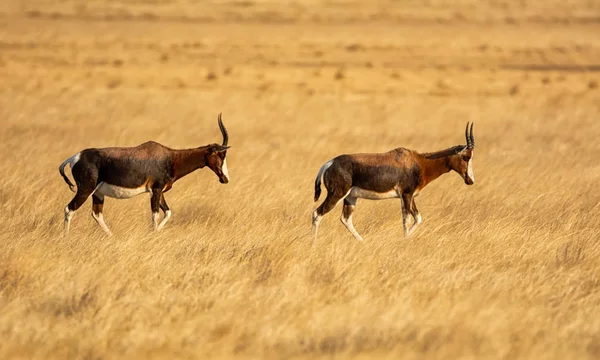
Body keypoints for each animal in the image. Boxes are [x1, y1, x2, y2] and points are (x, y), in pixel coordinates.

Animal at [58, 113, 231, 236]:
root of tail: (75, 158)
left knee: (96, 214)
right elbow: (155, 215)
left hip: (98, 193)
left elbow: (167, 212)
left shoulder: (159, 191)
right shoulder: (155, 190)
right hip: (85, 190)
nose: (225, 179)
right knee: (69, 209)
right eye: (219, 154)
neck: (170, 157)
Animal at [312, 121, 476, 242]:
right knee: (317, 213)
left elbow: (417, 218)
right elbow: (407, 220)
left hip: (350, 197)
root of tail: (329, 163)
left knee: (346, 219)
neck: (419, 161)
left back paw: (363, 241)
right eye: (465, 156)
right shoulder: (406, 195)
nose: (470, 180)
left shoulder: (410, 196)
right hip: (336, 195)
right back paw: (314, 244)